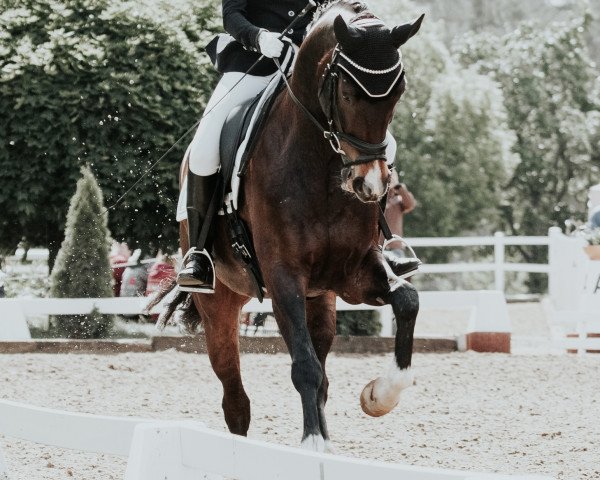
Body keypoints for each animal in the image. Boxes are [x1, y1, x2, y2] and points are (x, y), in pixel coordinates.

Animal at [157, 0, 424, 452]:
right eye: (348, 93)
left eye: (398, 93)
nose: (369, 185)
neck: (321, 165)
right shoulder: (283, 276)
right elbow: (303, 366)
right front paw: (312, 445)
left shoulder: (353, 272)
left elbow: (407, 301)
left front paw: (378, 396)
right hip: (221, 302)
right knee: (235, 395)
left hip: (321, 299)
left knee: (320, 363)